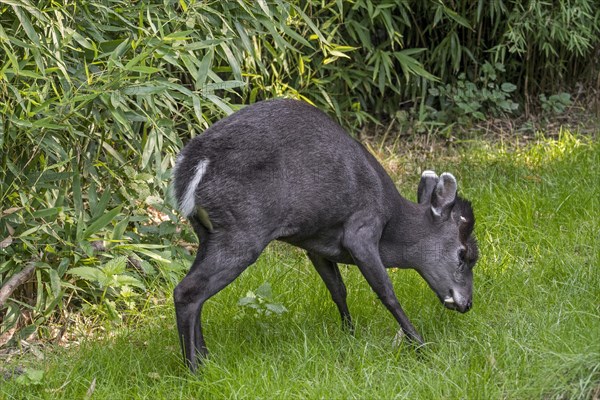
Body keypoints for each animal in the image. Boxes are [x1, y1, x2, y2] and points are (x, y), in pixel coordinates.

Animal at [172, 98, 478, 370]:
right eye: (464, 255)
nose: (467, 304)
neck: (393, 224)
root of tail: (192, 166)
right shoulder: (361, 230)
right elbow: (386, 292)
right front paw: (421, 346)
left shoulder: (316, 243)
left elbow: (338, 289)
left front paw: (350, 334)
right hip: (242, 232)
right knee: (187, 291)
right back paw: (194, 370)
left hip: (207, 232)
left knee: (196, 293)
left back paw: (205, 359)